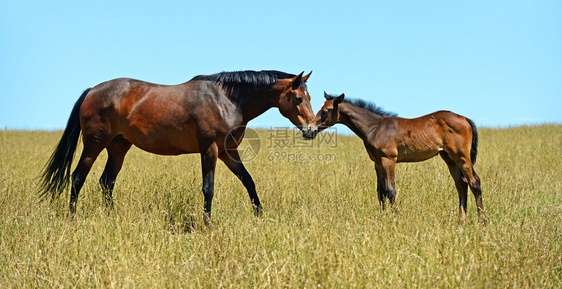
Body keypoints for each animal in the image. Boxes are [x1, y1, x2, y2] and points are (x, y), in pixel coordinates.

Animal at [40, 69, 316, 218]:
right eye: (298, 98)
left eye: (310, 97)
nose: (311, 130)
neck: (226, 99)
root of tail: (92, 91)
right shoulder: (209, 149)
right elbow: (208, 188)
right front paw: (207, 223)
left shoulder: (228, 151)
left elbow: (248, 181)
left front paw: (260, 215)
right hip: (94, 144)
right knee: (78, 177)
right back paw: (72, 218)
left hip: (118, 147)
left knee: (106, 182)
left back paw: (111, 216)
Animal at [304, 93, 484, 222]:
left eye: (326, 110)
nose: (308, 130)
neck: (375, 127)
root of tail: (464, 119)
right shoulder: (377, 162)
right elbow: (381, 191)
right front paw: (383, 219)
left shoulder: (389, 160)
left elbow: (391, 190)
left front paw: (396, 219)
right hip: (449, 158)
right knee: (461, 184)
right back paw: (461, 221)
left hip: (462, 157)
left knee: (474, 182)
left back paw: (482, 221)